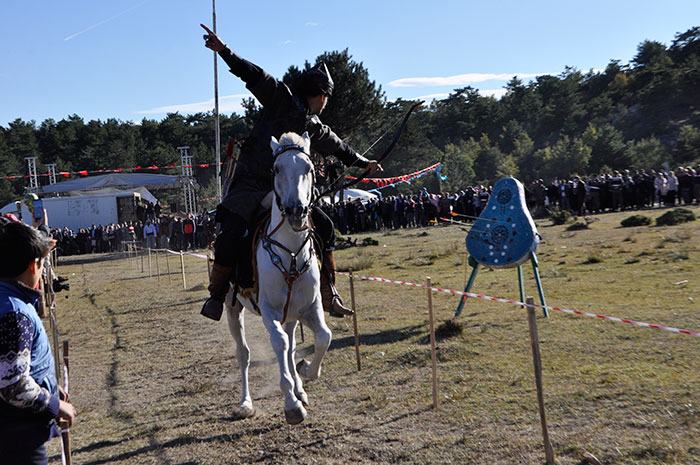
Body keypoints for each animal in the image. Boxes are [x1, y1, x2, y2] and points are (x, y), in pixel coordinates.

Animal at [226, 130, 332, 424]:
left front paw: (305, 372)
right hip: (232, 307)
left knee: (292, 344)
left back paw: (299, 387)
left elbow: (323, 337)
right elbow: (279, 344)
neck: (291, 252)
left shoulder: (310, 306)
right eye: (276, 169)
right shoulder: (269, 311)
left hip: (291, 314)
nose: (297, 211)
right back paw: (246, 402)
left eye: (309, 168)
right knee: (245, 354)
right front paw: (291, 405)